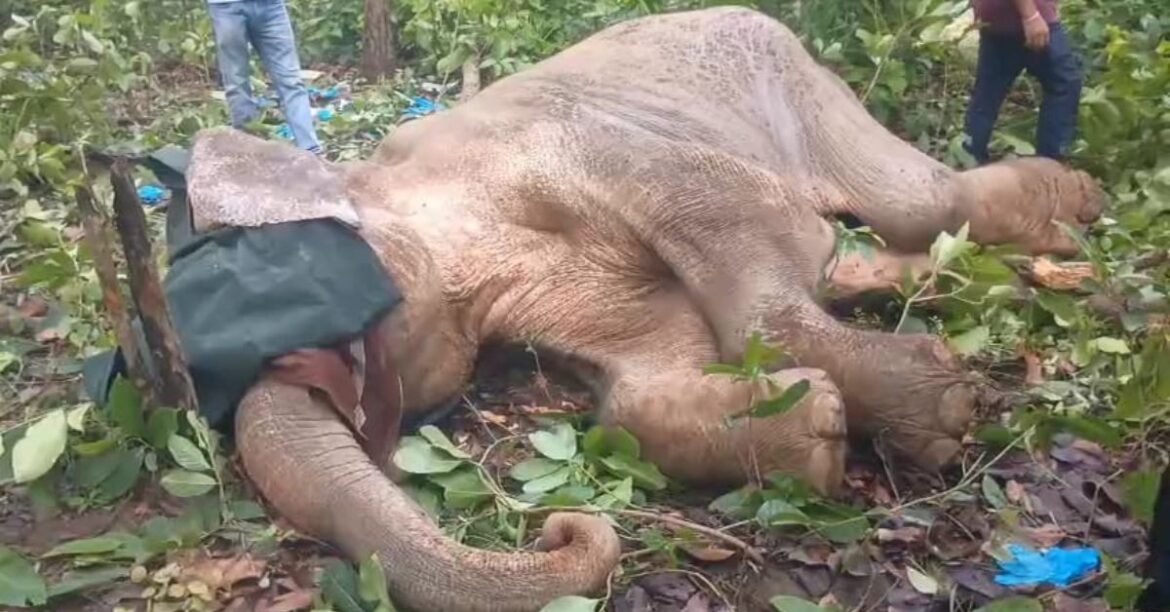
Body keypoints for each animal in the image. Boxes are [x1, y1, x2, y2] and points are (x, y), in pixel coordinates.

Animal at [182, 6, 1103, 612]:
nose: (559, 529)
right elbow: (639, 382)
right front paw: (816, 433)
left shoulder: (587, 146)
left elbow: (733, 216)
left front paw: (940, 411)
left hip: (798, 79)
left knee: (917, 198)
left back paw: (1070, 203)